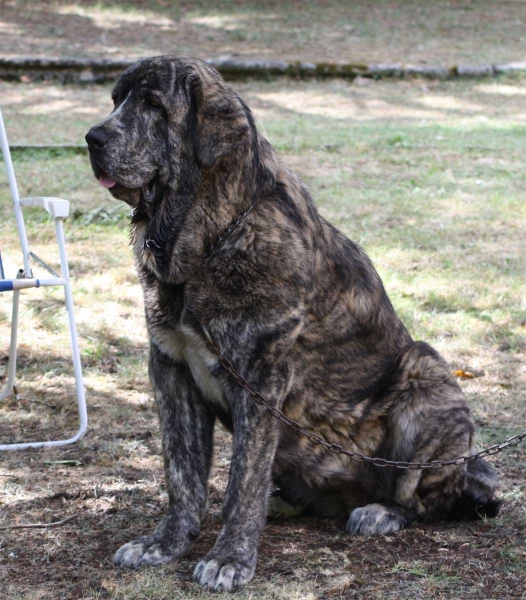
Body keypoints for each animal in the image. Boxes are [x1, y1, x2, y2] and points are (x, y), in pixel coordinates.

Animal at [86, 56, 504, 592]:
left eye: (154, 105)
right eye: (116, 100)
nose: (92, 138)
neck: (210, 238)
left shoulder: (261, 378)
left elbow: (241, 479)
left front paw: (230, 557)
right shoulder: (171, 369)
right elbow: (181, 474)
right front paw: (165, 544)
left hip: (426, 368)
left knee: (424, 498)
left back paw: (382, 511)